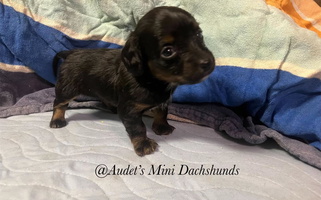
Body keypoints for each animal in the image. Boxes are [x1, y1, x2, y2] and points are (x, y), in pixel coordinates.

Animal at [50, 6, 214, 156]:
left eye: (199, 34)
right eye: (168, 51)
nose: (207, 63)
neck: (152, 80)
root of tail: (70, 53)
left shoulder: (163, 101)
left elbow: (162, 112)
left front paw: (162, 126)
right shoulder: (129, 109)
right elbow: (138, 127)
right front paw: (143, 144)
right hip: (67, 89)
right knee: (59, 103)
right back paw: (57, 120)